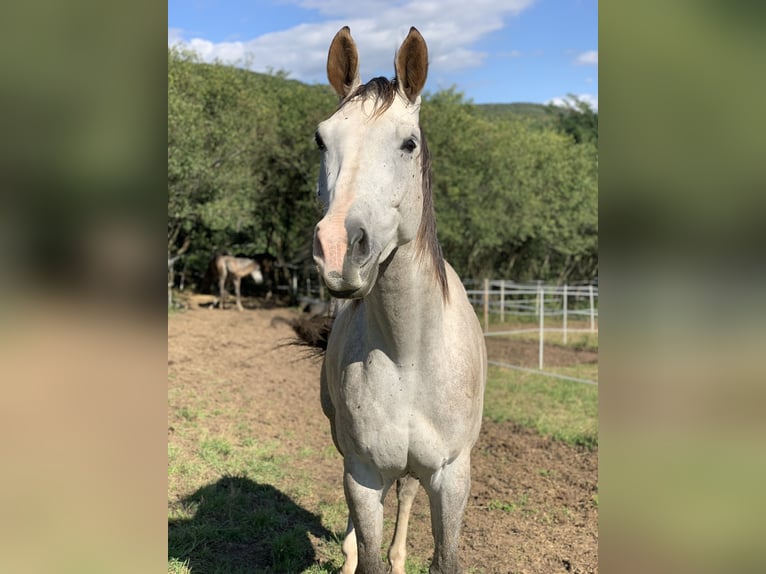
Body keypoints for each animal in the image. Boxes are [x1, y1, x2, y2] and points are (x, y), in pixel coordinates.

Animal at [310, 26, 487, 574]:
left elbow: (445, 556)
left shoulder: (451, 477)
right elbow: (368, 549)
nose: (338, 250)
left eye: (408, 143)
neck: (408, 354)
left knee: (406, 493)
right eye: (321, 139)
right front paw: (356, 557)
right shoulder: (363, 470)